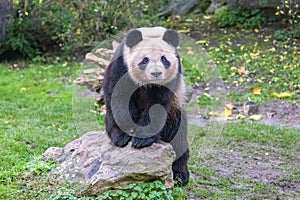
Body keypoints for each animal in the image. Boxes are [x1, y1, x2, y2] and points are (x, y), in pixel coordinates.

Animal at [102, 26, 189, 186]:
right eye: (145, 60)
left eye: (164, 59)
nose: (156, 73)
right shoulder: (121, 65)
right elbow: (119, 96)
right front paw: (126, 134)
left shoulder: (170, 78)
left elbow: (156, 105)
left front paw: (142, 140)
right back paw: (118, 136)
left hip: (175, 111)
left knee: (178, 140)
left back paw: (180, 175)